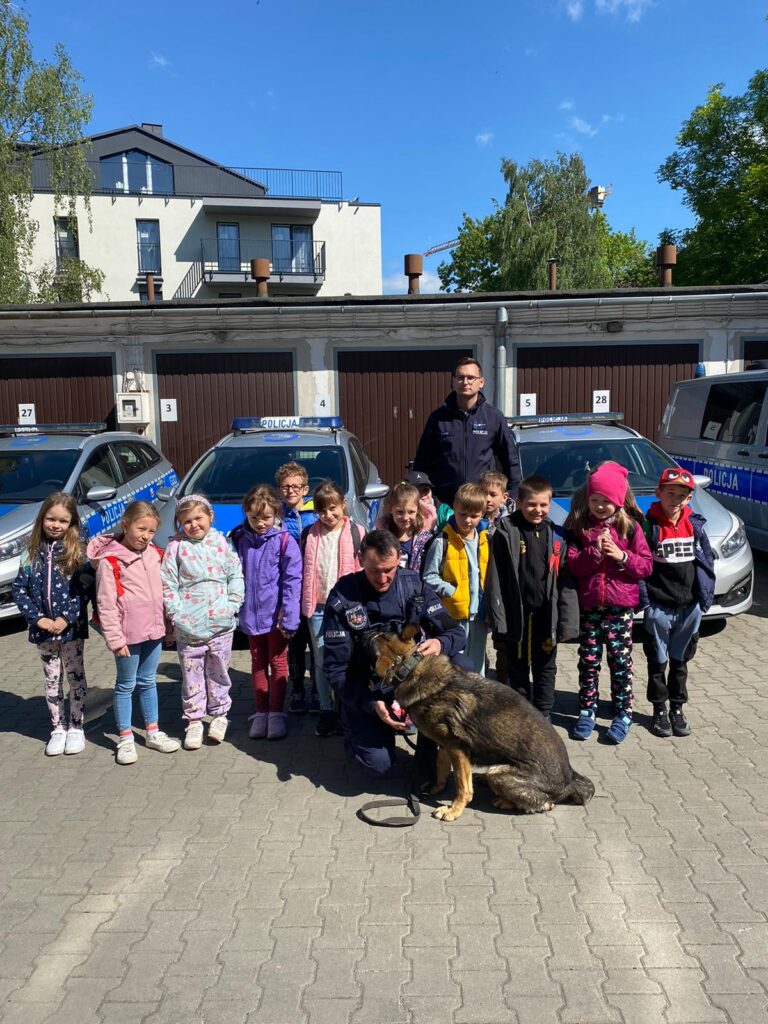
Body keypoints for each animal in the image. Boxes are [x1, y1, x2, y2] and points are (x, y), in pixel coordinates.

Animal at [366, 626, 595, 821]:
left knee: (545, 803)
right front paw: (435, 788)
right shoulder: (446, 745)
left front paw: (453, 810)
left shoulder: (457, 748)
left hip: (500, 775)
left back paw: (505, 800)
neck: (411, 668)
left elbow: (462, 785)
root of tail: (570, 780)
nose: (367, 631)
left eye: (381, 634)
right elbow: (441, 767)